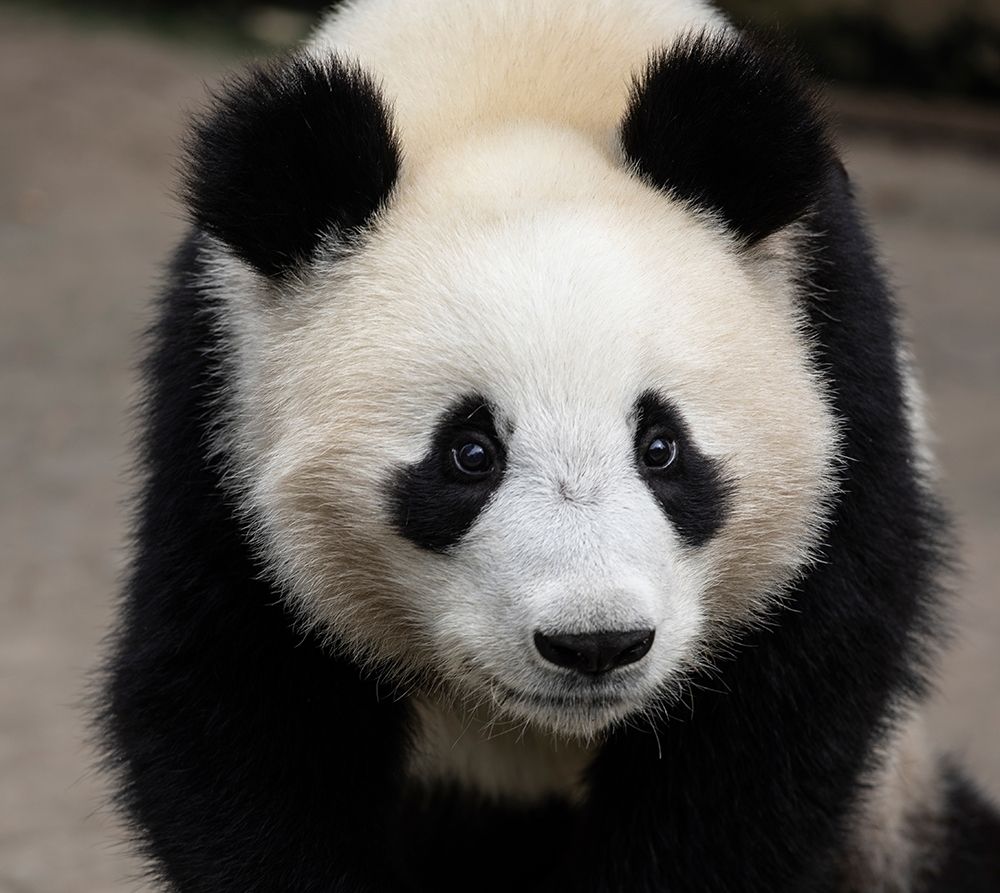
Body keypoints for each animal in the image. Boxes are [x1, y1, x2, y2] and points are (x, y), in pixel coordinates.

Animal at [101, 0, 1000, 890]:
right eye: (469, 454)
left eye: (661, 446)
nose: (595, 643)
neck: (518, 69)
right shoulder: (222, 403)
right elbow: (232, 704)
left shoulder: (836, 358)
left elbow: (774, 727)